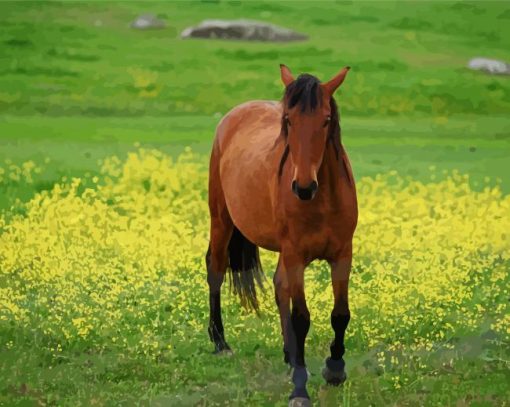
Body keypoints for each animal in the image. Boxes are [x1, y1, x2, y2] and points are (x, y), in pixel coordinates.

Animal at [205, 65, 356, 406]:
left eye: (325, 119)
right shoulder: (296, 254)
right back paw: (221, 343)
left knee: (278, 286)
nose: (303, 187)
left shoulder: (343, 254)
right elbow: (302, 318)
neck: (322, 200)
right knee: (215, 269)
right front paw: (300, 389)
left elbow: (340, 313)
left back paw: (290, 356)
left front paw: (335, 368)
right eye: (288, 120)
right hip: (221, 220)